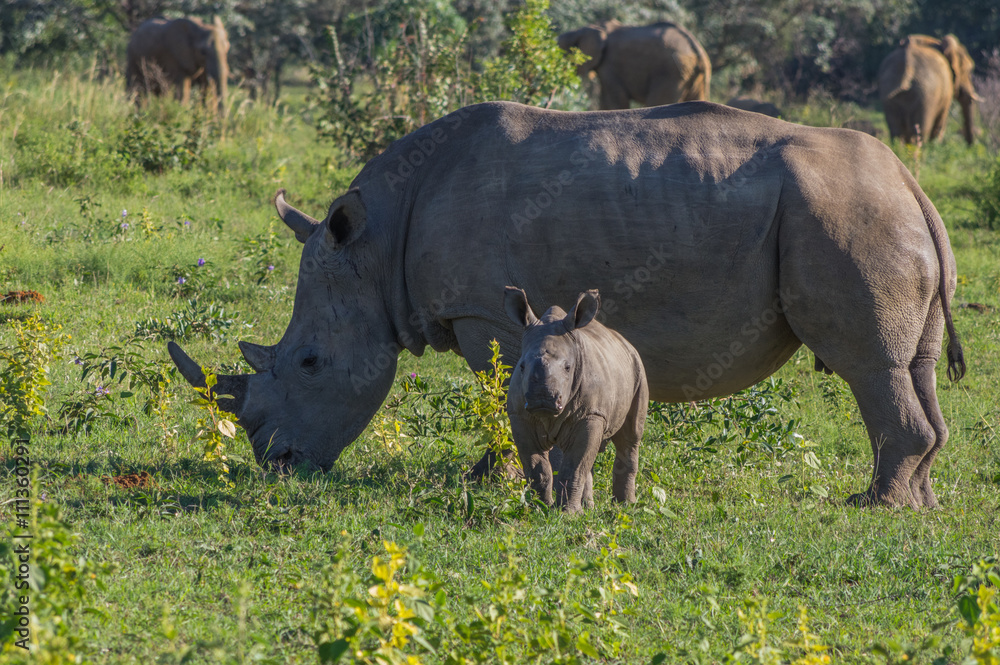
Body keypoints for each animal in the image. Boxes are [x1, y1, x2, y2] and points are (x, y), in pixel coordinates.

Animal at [504, 287, 648, 513]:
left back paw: (625, 506)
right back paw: (588, 507)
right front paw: (539, 508)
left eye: (568, 367)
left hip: (637, 367)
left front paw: (568, 514)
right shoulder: (520, 415)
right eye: (521, 366)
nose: (542, 399)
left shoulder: (591, 414)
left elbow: (574, 467)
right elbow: (537, 468)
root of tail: (624, 341)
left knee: (630, 438)